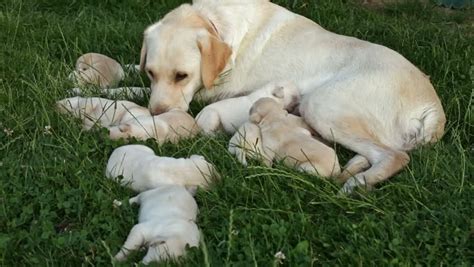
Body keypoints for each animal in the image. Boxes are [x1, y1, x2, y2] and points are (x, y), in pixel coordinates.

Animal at [139, 0, 446, 193]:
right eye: (151, 72)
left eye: (182, 76)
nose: (157, 114)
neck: (214, 22)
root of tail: (432, 107)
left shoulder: (206, 93)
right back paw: (353, 171)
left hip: (321, 105)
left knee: (395, 156)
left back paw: (357, 184)